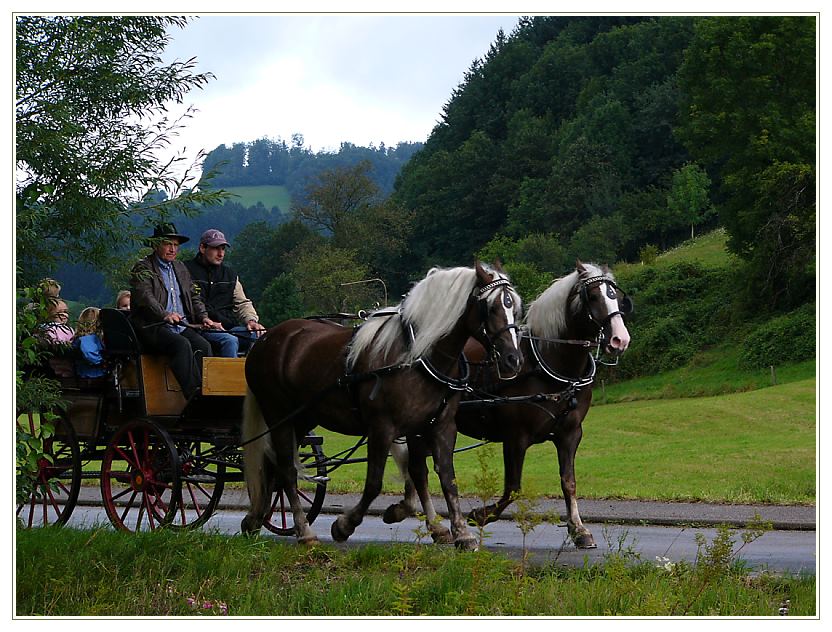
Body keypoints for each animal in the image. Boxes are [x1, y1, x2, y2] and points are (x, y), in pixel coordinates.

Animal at [244, 262, 524, 548]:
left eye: (515, 307)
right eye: (490, 307)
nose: (514, 359)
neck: (417, 356)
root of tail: (266, 339)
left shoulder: (437, 425)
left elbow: (440, 476)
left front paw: (457, 531)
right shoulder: (382, 427)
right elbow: (374, 483)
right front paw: (345, 525)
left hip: (302, 418)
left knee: (274, 468)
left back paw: (255, 519)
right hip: (278, 414)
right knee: (287, 471)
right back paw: (304, 531)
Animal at [384, 262, 632, 548]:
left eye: (616, 297)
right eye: (592, 296)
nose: (620, 339)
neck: (546, 363)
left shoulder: (570, 434)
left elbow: (568, 482)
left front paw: (578, 529)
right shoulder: (516, 437)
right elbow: (513, 487)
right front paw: (480, 515)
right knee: (418, 470)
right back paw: (433, 525)